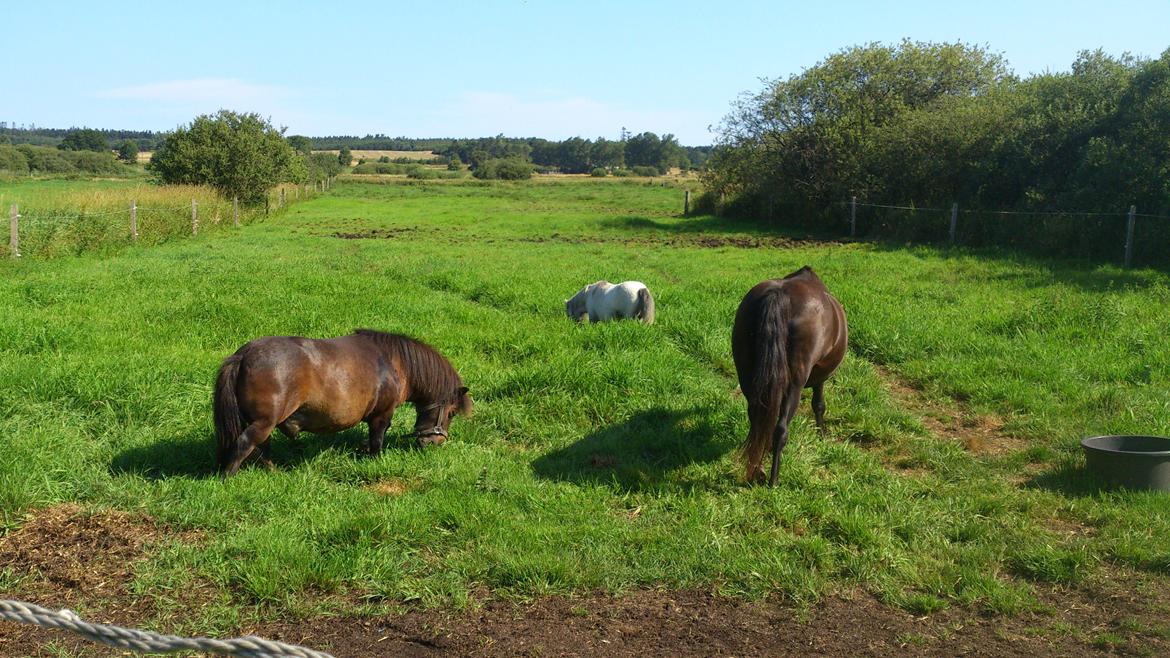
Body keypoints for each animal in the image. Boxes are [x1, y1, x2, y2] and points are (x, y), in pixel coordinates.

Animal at [210, 330, 470, 473]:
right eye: (451, 413)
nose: (435, 443)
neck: (396, 363)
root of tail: (243, 355)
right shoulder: (382, 414)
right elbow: (377, 440)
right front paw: (375, 461)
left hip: (264, 422)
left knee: (262, 448)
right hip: (264, 422)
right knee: (244, 444)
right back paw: (228, 477)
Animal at [730, 263, 842, 484]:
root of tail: (778, 295)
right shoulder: (821, 377)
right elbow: (819, 405)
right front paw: (821, 435)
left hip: (747, 376)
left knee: (757, 418)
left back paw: (757, 468)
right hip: (794, 384)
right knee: (780, 429)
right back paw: (773, 480)